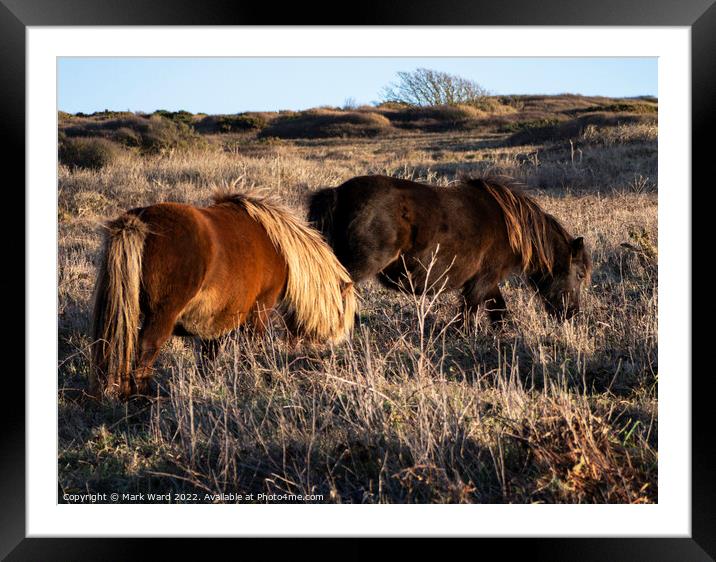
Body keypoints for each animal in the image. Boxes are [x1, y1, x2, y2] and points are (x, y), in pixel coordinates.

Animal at [91, 191, 356, 398]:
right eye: (341, 312)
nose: (337, 345)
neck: (279, 247)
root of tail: (141, 220)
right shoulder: (261, 307)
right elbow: (252, 346)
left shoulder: (214, 319)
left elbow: (209, 355)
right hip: (161, 316)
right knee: (147, 348)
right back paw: (144, 398)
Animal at [308, 175, 592, 324]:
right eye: (579, 275)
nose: (573, 315)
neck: (511, 226)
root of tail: (338, 193)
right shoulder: (483, 280)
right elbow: (469, 313)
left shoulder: (487, 282)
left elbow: (499, 312)